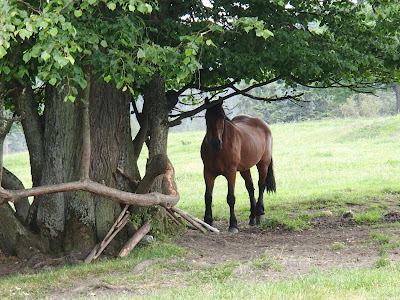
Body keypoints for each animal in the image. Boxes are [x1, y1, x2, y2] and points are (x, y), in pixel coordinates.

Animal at [200, 101, 276, 232]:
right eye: (206, 117)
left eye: (222, 117)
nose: (215, 142)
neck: (219, 150)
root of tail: (263, 124)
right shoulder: (208, 172)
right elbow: (208, 197)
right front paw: (208, 222)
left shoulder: (231, 172)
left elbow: (231, 198)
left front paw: (233, 224)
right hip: (245, 169)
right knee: (250, 188)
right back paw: (252, 216)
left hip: (263, 164)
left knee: (261, 185)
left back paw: (260, 213)